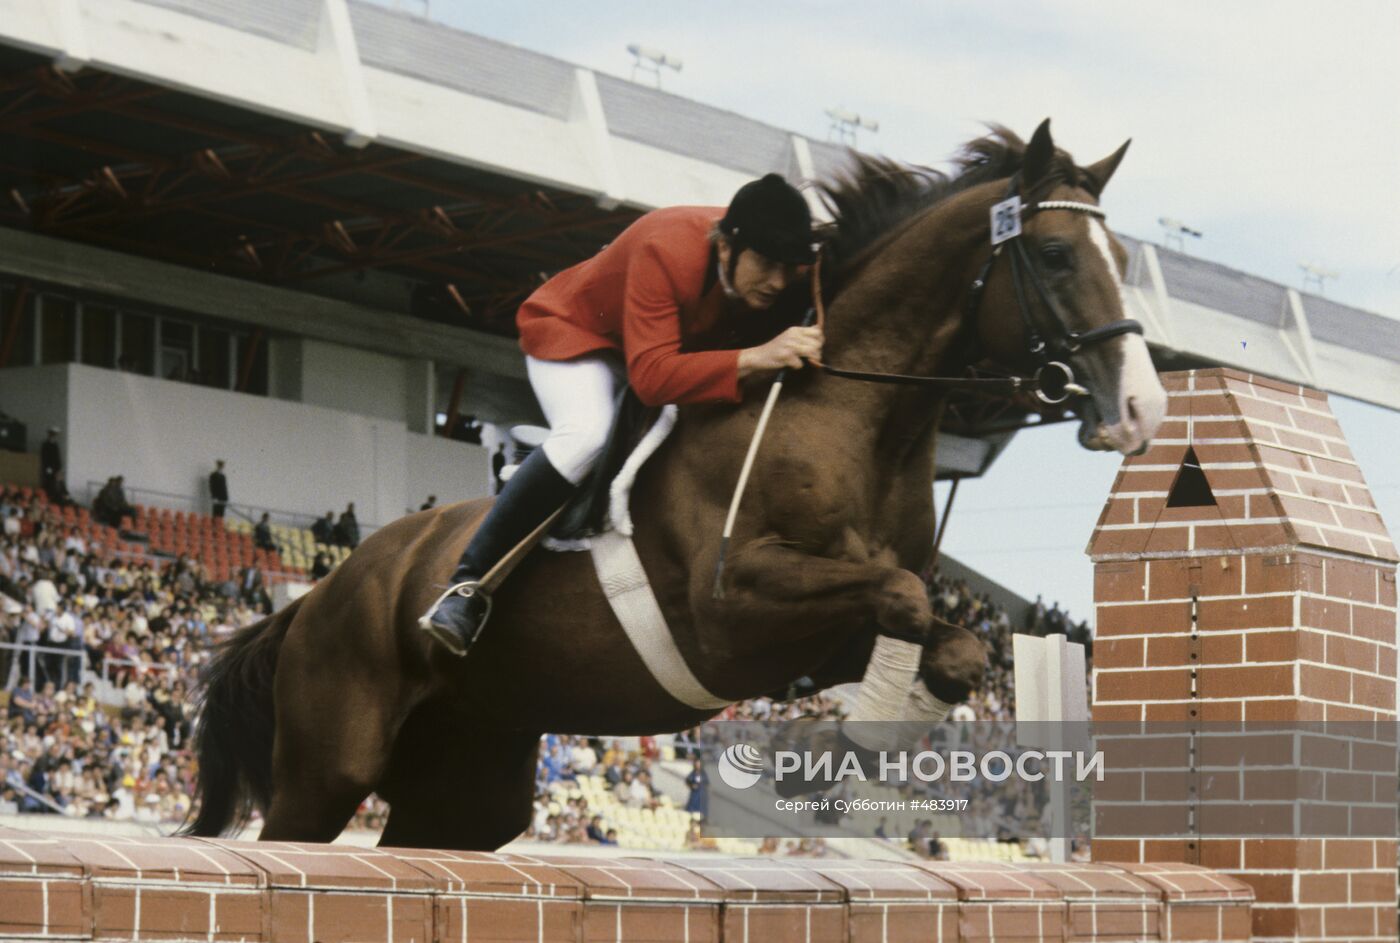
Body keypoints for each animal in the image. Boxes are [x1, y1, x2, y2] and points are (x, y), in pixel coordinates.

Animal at [186, 121, 1170, 850]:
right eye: (1054, 253)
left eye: (1121, 257)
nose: (1141, 408)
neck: (848, 414)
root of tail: (316, 595)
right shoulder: (733, 605)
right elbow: (904, 595)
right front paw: (844, 754)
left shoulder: (819, 635)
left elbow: (950, 642)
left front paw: (856, 757)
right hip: (329, 764)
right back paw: (455, 608)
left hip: (467, 781)